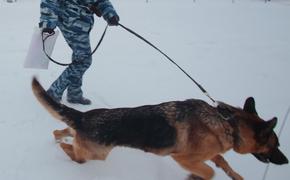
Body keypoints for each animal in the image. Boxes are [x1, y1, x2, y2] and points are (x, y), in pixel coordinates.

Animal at [32, 77, 288, 180]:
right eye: (276, 144)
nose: (286, 161)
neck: (228, 123)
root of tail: (84, 117)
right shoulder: (184, 158)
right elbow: (210, 171)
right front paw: (194, 178)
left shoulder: (207, 153)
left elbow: (222, 162)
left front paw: (235, 175)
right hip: (95, 154)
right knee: (73, 152)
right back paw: (67, 159)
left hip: (80, 137)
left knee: (61, 133)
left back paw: (59, 138)